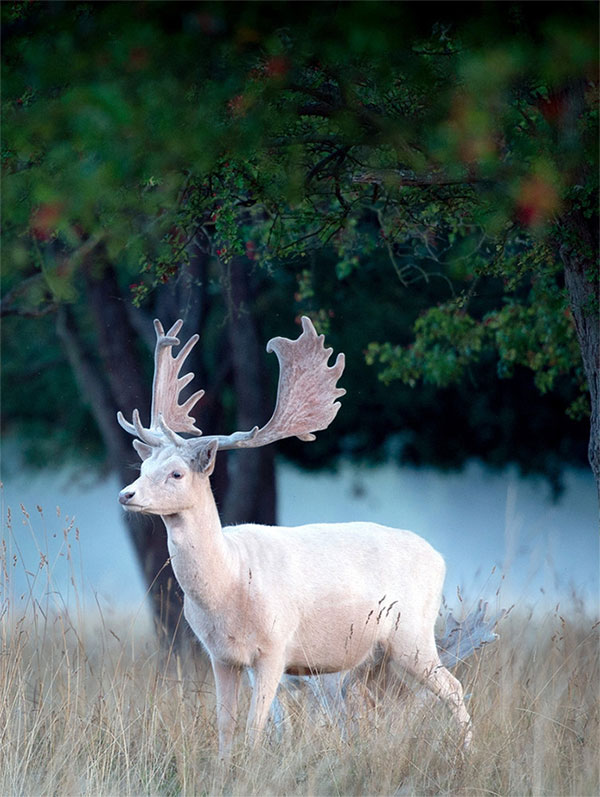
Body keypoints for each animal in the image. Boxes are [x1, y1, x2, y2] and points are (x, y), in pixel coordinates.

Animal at [117, 316, 472, 757]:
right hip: (373, 656)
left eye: (177, 473)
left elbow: (255, 727)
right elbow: (225, 726)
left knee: (454, 688)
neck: (229, 582)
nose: (126, 494)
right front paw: (223, 765)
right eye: (143, 467)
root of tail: (439, 557)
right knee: (376, 703)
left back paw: (467, 751)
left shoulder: (275, 647)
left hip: (413, 633)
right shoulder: (219, 655)